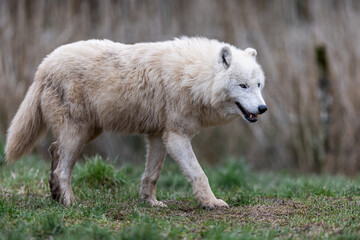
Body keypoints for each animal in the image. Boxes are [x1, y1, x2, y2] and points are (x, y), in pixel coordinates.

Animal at [4, 37, 266, 208]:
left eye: (258, 85)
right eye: (243, 86)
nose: (263, 109)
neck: (194, 76)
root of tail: (44, 65)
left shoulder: (160, 136)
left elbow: (152, 174)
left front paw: (151, 203)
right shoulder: (177, 136)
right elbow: (199, 173)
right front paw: (211, 202)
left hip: (87, 132)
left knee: (54, 151)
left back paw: (56, 196)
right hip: (77, 134)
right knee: (62, 169)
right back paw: (70, 202)